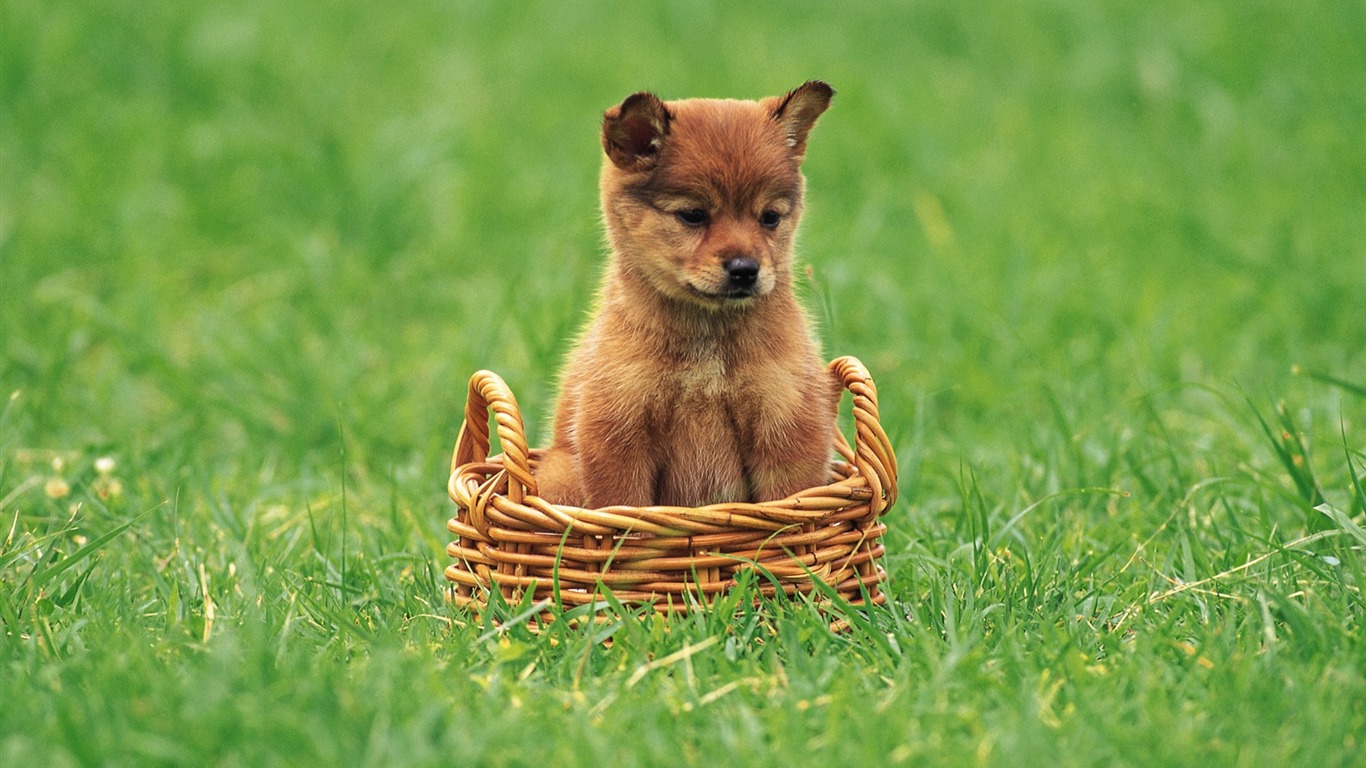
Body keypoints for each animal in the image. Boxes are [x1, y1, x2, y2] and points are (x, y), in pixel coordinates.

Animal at [535, 80, 841, 505]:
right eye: (693, 215)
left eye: (770, 217)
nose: (745, 270)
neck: (705, 345)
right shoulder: (617, 431)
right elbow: (625, 510)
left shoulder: (787, 426)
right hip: (560, 475)